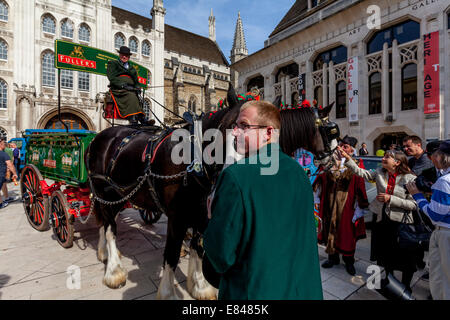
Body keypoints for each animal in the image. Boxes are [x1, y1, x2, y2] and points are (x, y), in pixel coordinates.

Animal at [85, 85, 338, 300]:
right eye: (328, 131)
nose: (333, 161)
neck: (194, 161)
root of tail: (103, 135)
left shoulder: (202, 214)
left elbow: (198, 246)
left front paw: (200, 285)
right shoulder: (178, 217)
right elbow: (172, 254)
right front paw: (168, 292)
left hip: (120, 195)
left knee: (106, 220)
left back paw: (104, 253)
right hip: (105, 191)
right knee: (110, 226)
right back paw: (114, 269)